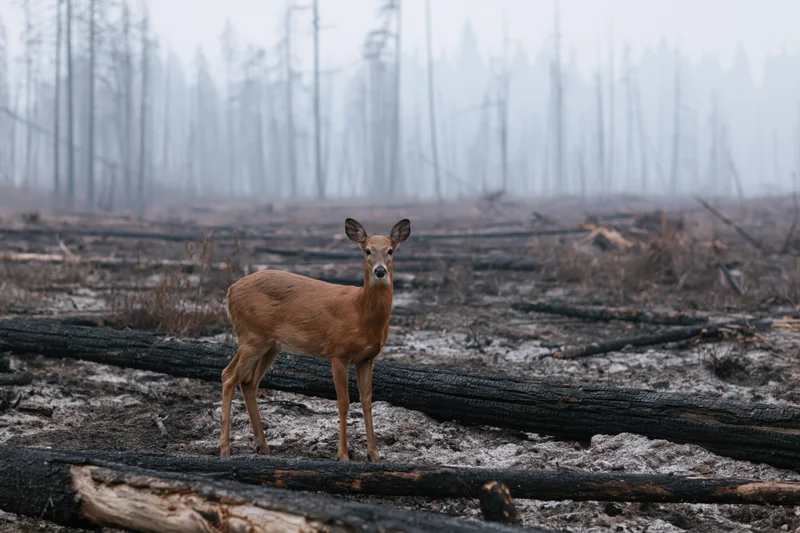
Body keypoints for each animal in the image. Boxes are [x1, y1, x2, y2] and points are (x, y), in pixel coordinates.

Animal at [220, 218, 411, 462]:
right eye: (367, 250)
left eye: (390, 250)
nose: (379, 271)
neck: (359, 312)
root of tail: (230, 291)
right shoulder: (338, 352)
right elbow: (343, 402)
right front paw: (342, 455)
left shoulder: (366, 358)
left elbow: (367, 401)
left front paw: (374, 454)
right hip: (252, 336)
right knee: (228, 375)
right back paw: (224, 449)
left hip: (270, 345)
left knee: (248, 382)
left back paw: (263, 446)